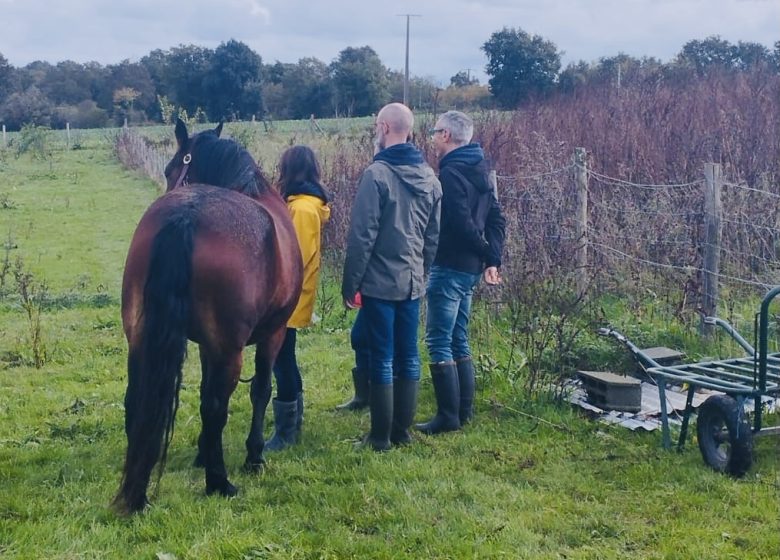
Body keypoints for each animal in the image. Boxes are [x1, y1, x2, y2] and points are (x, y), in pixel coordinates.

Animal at [114, 120, 304, 516]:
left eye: (170, 169)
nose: (168, 183)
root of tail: (186, 213)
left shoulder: (206, 344)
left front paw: (202, 452)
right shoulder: (272, 334)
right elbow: (260, 391)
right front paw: (254, 456)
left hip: (139, 337)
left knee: (136, 398)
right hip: (232, 350)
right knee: (217, 406)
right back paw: (219, 482)